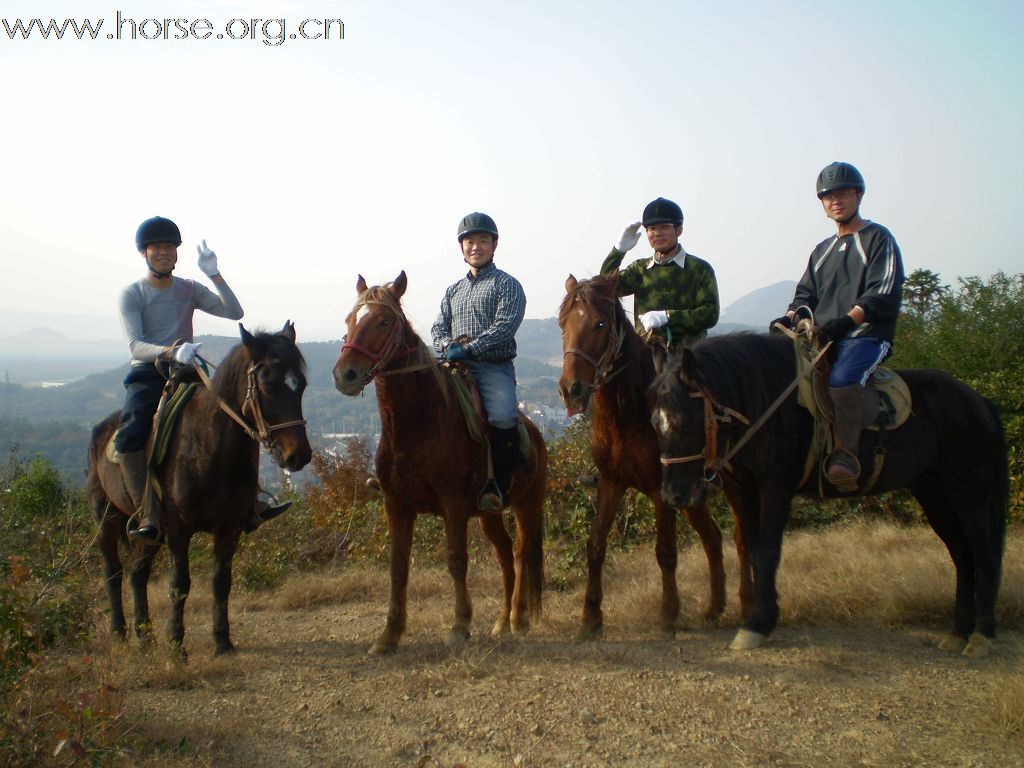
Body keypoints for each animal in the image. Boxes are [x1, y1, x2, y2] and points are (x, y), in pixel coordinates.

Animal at [87, 323, 311, 655]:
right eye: (267, 386)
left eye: (302, 385)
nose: (298, 456)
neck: (210, 447)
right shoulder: (178, 529)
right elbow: (180, 585)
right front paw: (176, 646)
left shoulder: (229, 527)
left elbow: (221, 581)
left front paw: (222, 642)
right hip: (107, 517)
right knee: (113, 572)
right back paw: (119, 632)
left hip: (149, 534)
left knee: (137, 574)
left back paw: (145, 636)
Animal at [331, 272, 548, 655]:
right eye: (350, 320)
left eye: (384, 321)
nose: (346, 375)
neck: (419, 423)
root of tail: (535, 432)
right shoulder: (396, 505)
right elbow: (398, 568)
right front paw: (388, 635)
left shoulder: (453, 505)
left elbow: (456, 561)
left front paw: (460, 626)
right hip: (489, 513)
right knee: (505, 553)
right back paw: (501, 622)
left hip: (528, 504)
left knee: (521, 552)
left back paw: (519, 619)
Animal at [557, 274, 749, 638]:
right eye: (563, 324)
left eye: (600, 323)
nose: (570, 389)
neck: (630, 413)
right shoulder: (611, 483)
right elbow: (595, 544)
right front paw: (590, 617)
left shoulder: (663, 491)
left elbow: (666, 551)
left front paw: (669, 614)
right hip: (693, 496)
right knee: (714, 539)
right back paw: (714, 608)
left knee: (742, 538)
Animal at [647, 333, 1007, 659]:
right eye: (655, 423)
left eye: (684, 421)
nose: (673, 495)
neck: (764, 403)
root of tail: (979, 402)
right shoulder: (744, 490)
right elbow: (754, 553)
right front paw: (759, 620)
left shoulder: (775, 489)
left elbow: (768, 553)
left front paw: (758, 625)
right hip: (933, 494)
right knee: (962, 555)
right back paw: (958, 632)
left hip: (969, 495)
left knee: (984, 554)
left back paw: (983, 635)